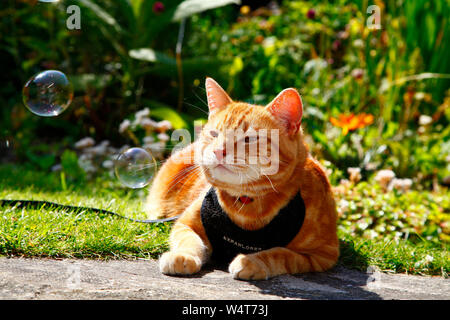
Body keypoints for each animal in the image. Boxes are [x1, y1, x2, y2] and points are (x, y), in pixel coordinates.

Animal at [146, 77, 340, 280]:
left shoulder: (322, 254)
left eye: (249, 139)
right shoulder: (185, 224)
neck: (246, 203)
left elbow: (280, 254)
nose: (218, 151)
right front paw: (182, 256)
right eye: (214, 134)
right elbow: (190, 241)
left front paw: (252, 262)